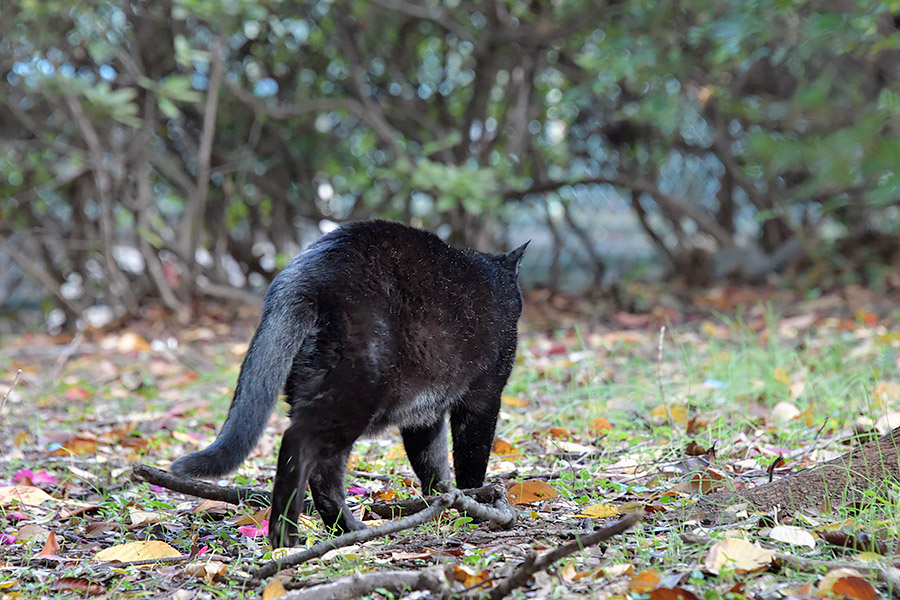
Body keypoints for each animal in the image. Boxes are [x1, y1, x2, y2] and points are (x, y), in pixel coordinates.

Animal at [171, 220, 528, 548]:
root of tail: (303, 276)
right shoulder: (483, 398)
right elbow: (471, 457)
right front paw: (475, 503)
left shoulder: (424, 414)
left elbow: (431, 461)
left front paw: (438, 503)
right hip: (355, 393)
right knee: (298, 446)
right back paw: (287, 536)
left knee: (323, 470)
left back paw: (345, 529)